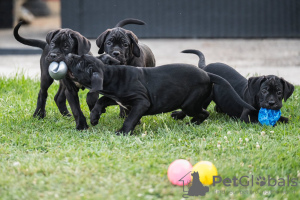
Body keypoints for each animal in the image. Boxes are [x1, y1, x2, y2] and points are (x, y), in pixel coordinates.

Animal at [64, 53, 254, 134]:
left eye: (79, 63)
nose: (69, 54)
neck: (111, 75)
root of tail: (208, 74)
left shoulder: (141, 102)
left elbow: (130, 118)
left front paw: (123, 132)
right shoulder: (119, 99)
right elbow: (102, 99)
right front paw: (94, 117)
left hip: (191, 103)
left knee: (204, 113)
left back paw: (192, 122)